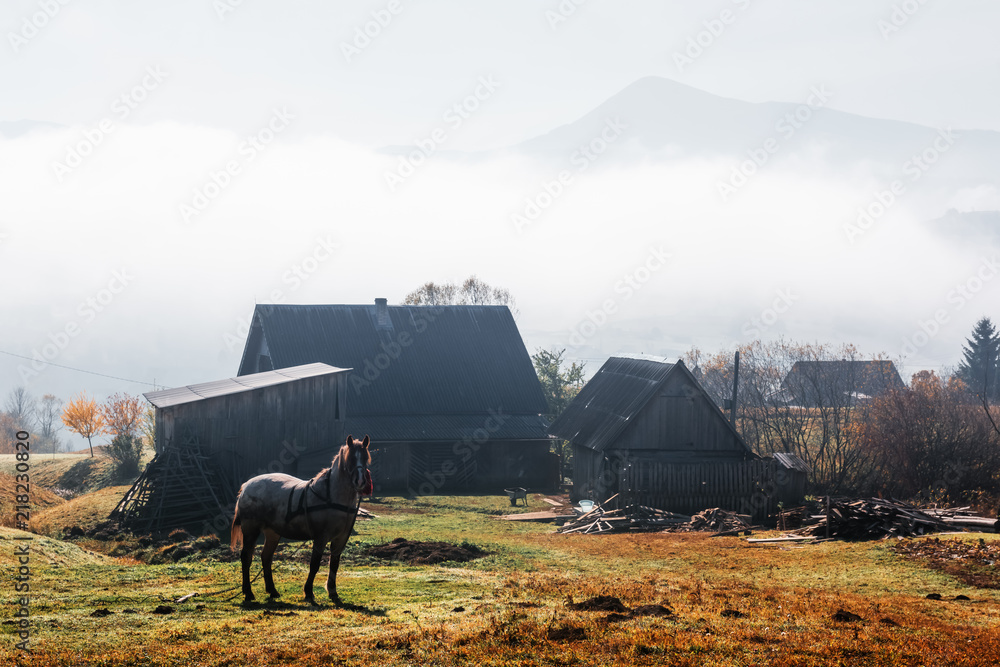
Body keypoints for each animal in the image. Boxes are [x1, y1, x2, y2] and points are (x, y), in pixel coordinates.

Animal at [229, 434, 374, 604]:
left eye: (365, 458)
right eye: (351, 458)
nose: (360, 481)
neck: (331, 496)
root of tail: (247, 486)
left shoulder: (341, 538)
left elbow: (334, 564)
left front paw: (332, 591)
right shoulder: (320, 537)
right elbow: (314, 565)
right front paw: (309, 592)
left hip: (272, 533)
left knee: (266, 557)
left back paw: (272, 591)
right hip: (250, 530)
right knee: (246, 557)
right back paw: (248, 592)